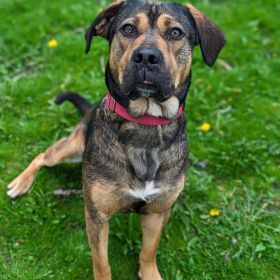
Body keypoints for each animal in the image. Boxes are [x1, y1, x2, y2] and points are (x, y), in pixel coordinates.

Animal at [6, 1, 225, 278]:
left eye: (175, 32)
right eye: (127, 28)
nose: (146, 57)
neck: (145, 124)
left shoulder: (158, 211)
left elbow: (148, 251)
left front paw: (149, 273)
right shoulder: (97, 215)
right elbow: (101, 262)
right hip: (72, 148)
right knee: (42, 156)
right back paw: (21, 183)